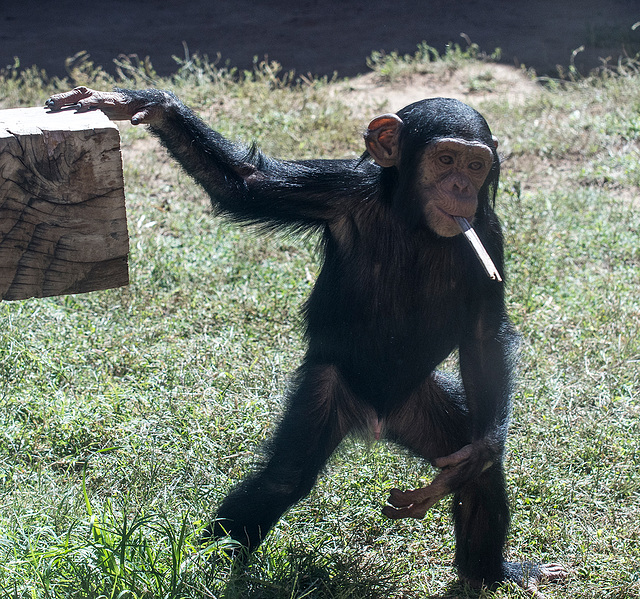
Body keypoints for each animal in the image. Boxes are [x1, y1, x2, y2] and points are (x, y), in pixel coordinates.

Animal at [50, 86, 568, 596]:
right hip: (330, 391)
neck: (414, 221)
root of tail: (378, 421)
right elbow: (245, 183)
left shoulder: (488, 233)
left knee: (480, 480)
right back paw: (204, 567)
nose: (461, 187)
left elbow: (484, 336)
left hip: (424, 407)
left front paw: (484, 449)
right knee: (282, 479)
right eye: (445, 160)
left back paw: (493, 573)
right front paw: (144, 105)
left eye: (476, 165)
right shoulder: (335, 191)